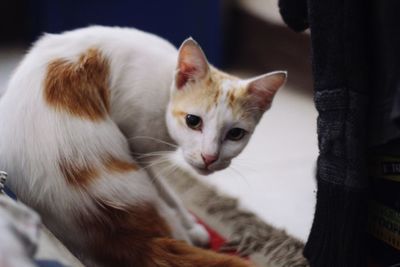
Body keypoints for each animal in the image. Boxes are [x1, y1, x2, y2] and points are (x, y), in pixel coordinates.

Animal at [0, 25, 286, 267]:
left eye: (236, 134)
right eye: (193, 121)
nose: (209, 157)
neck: (167, 88)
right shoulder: (136, 146)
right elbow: (168, 191)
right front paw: (191, 223)